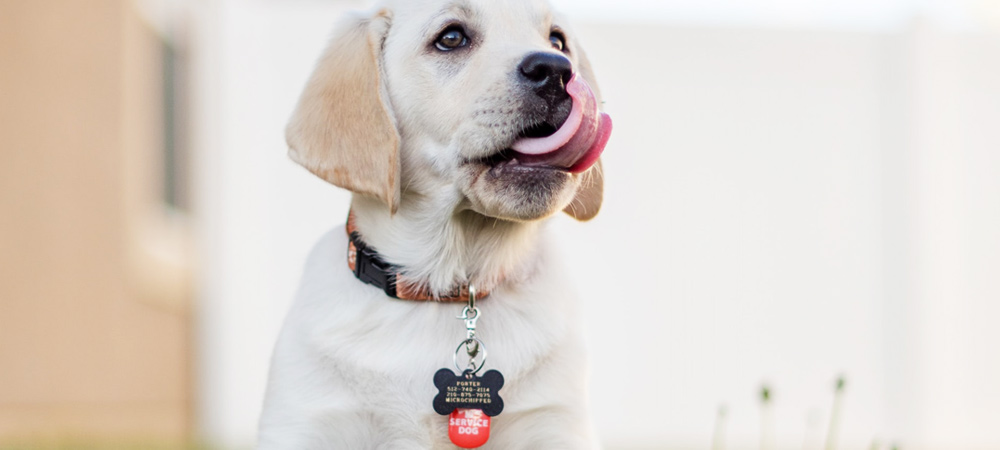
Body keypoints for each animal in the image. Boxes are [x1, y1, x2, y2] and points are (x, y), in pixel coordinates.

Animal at [258, 0, 612, 446]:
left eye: (557, 40)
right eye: (452, 38)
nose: (557, 70)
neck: (443, 288)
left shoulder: (554, 423)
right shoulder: (307, 423)